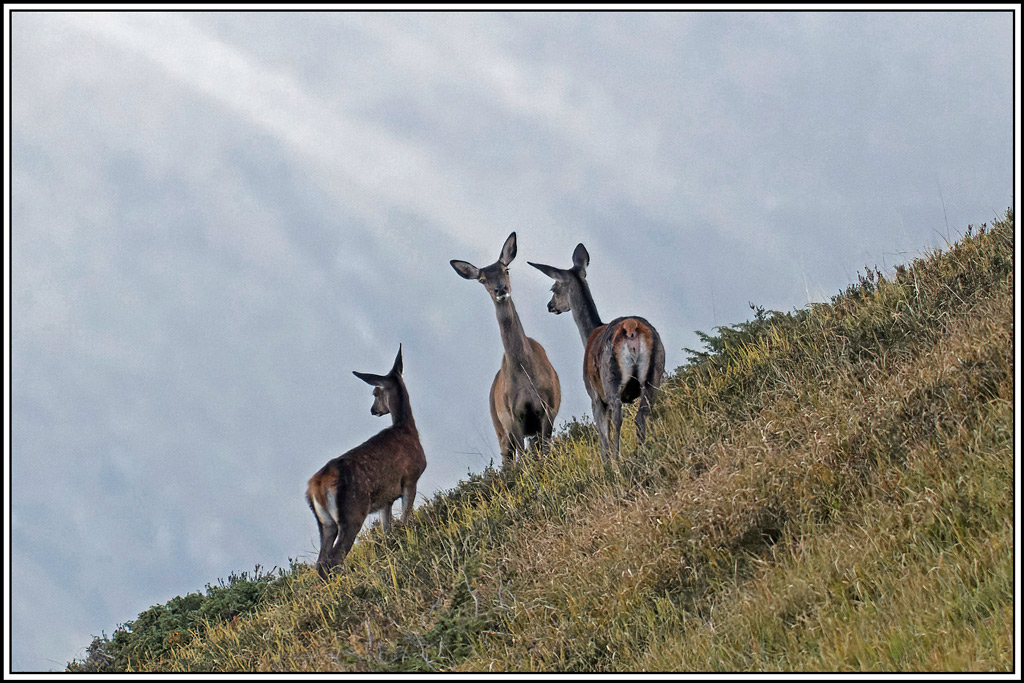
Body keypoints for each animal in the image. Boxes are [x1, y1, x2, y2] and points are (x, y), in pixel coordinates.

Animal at [305, 345, 426, 580]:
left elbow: (388, 532)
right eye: (375, 392)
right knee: (334, 558)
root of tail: (316, 486)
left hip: (326, 522)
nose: (374, 410)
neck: (407, 430)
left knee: (321, 563)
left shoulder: (386, 499)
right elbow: (406, 520)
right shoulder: (411, 478)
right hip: (352, 510)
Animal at [450, 232, 561, 467]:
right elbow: (524, 457)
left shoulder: (548, 407)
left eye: (506, 269)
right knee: (509, 461)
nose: (500, 289)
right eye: (482, 279)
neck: (525, 371)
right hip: (499, 428)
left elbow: (544, 450)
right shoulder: (513, 417)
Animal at [529, 243, 665, 463]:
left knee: (619, 417)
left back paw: (619, 460)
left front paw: (607, 464)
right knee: (642, 415)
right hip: (655, 373)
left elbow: (602, 436)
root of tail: (631, 329)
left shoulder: (595, 397)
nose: (550, 306)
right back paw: (643, 451)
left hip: (611, 380)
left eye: (554, 288)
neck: (589, 334)